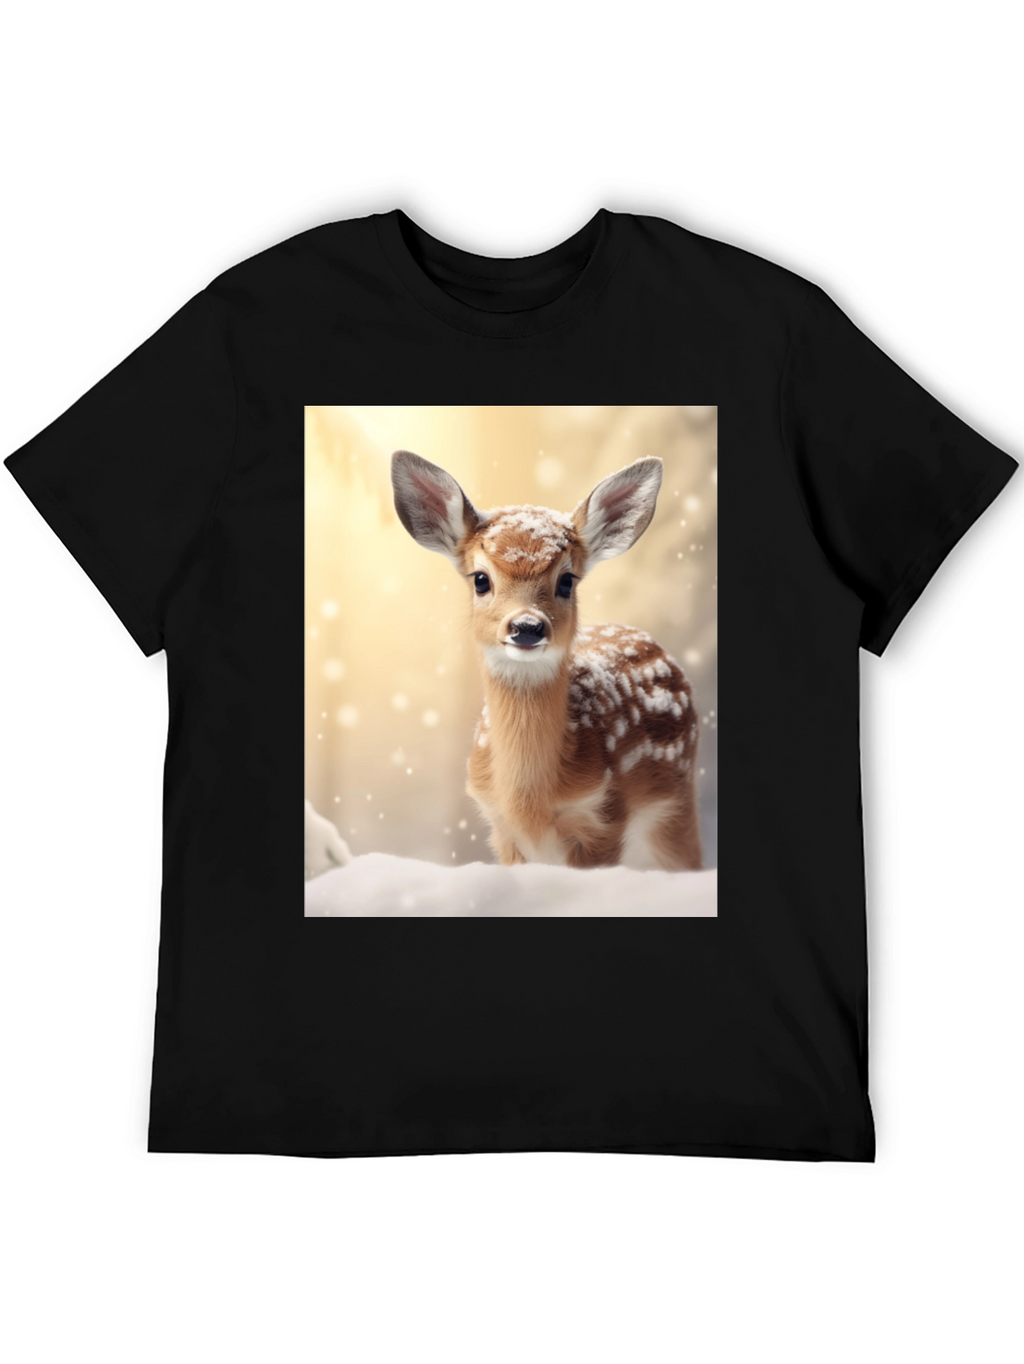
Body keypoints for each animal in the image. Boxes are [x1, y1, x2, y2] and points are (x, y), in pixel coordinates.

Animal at [391, 451, 703, 872]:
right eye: (480, 579)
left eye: (567, 581)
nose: (526, 626)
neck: (530, 802)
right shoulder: (501, 829)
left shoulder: (604, 817)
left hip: (676, 806)